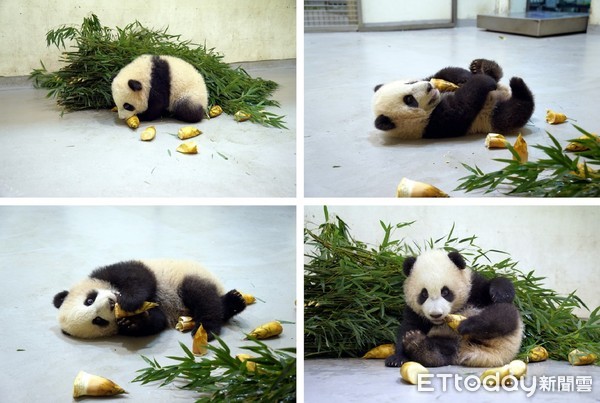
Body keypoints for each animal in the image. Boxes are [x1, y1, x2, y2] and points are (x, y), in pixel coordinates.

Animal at [52, 260, 245, 340]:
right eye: (98, 320)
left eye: (89, 300)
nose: (111, 303)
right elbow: (157, 320)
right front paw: (133, 323)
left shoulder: (107, 272)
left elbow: (138, 277)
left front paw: (128, 301)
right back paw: (233, 304)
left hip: (187, 277)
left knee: (203, 297)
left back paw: (207, 328)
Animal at [376, 58, 536, 140]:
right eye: (409, 100)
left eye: (410, 83)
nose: (429, 87)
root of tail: (506, 92)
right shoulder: (433, 123)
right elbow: (463, 104)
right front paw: (483, 80)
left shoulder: (432, 79)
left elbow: (444, 73)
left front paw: (466, 77)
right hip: (493, 115)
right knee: (513, 112)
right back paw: (517, 85)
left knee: (496, 75)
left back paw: (481, 66)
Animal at [386, 249, 524, 370]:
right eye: (424, 294)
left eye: (445, 292)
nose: (436, 314)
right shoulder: (414, 311)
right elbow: (408, 326)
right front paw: (397, 358)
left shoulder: (473, 289)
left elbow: (493, 289)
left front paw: (501, 293)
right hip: (448, 342)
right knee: (443, 351)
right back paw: (418, 346)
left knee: (502, 315)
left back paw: (469, 325)